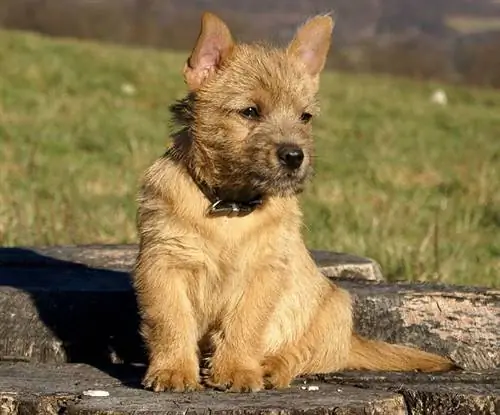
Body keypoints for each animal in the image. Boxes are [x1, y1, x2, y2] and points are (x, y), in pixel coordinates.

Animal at [130, 10, 458, 394]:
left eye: (305, 117)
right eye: (250, 111)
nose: (294, 156)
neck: (230, 206)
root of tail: (350, 340)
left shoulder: (264, 273)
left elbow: (244, 325)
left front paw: (236, 370)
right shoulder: (163, 265)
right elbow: (171, 322)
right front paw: (173, 370)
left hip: (333, 308)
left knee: (302, 354)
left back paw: (271, 367)